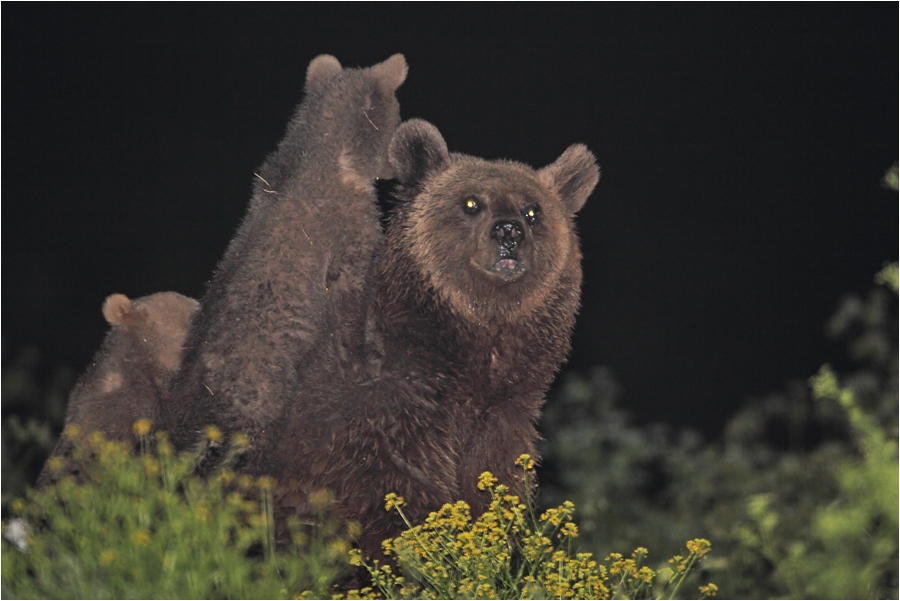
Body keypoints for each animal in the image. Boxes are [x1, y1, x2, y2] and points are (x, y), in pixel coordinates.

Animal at [162, 52, 408, 464]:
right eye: (398, 110)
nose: (392, 166)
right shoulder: (349, 239)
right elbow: (352, 302)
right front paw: (364, 360)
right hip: (258, 393)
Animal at [270, 118, 600, 556]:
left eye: (533, 211)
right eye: (472, 203)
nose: (509, 232)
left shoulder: (502, 416)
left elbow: (492, 482)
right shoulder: (384, 416)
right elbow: (393, 498)